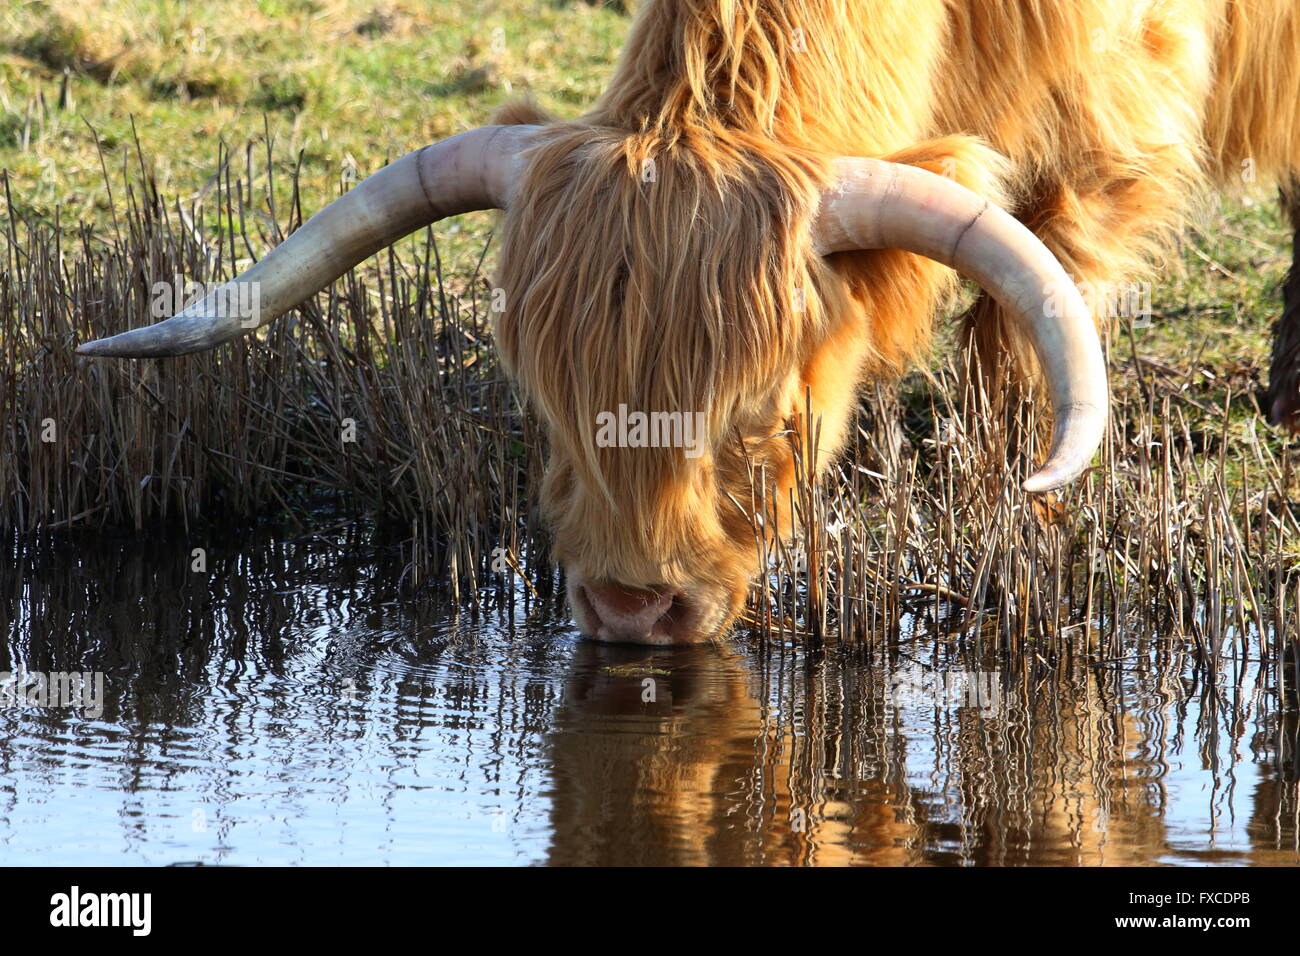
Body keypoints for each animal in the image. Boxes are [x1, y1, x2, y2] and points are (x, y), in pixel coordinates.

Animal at [78, 1, 1300, 642]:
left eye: (760, 409)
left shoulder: (1109, 129)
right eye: (543, 399)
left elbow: (1023, 329)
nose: (631, 603)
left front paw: (1011, 506)